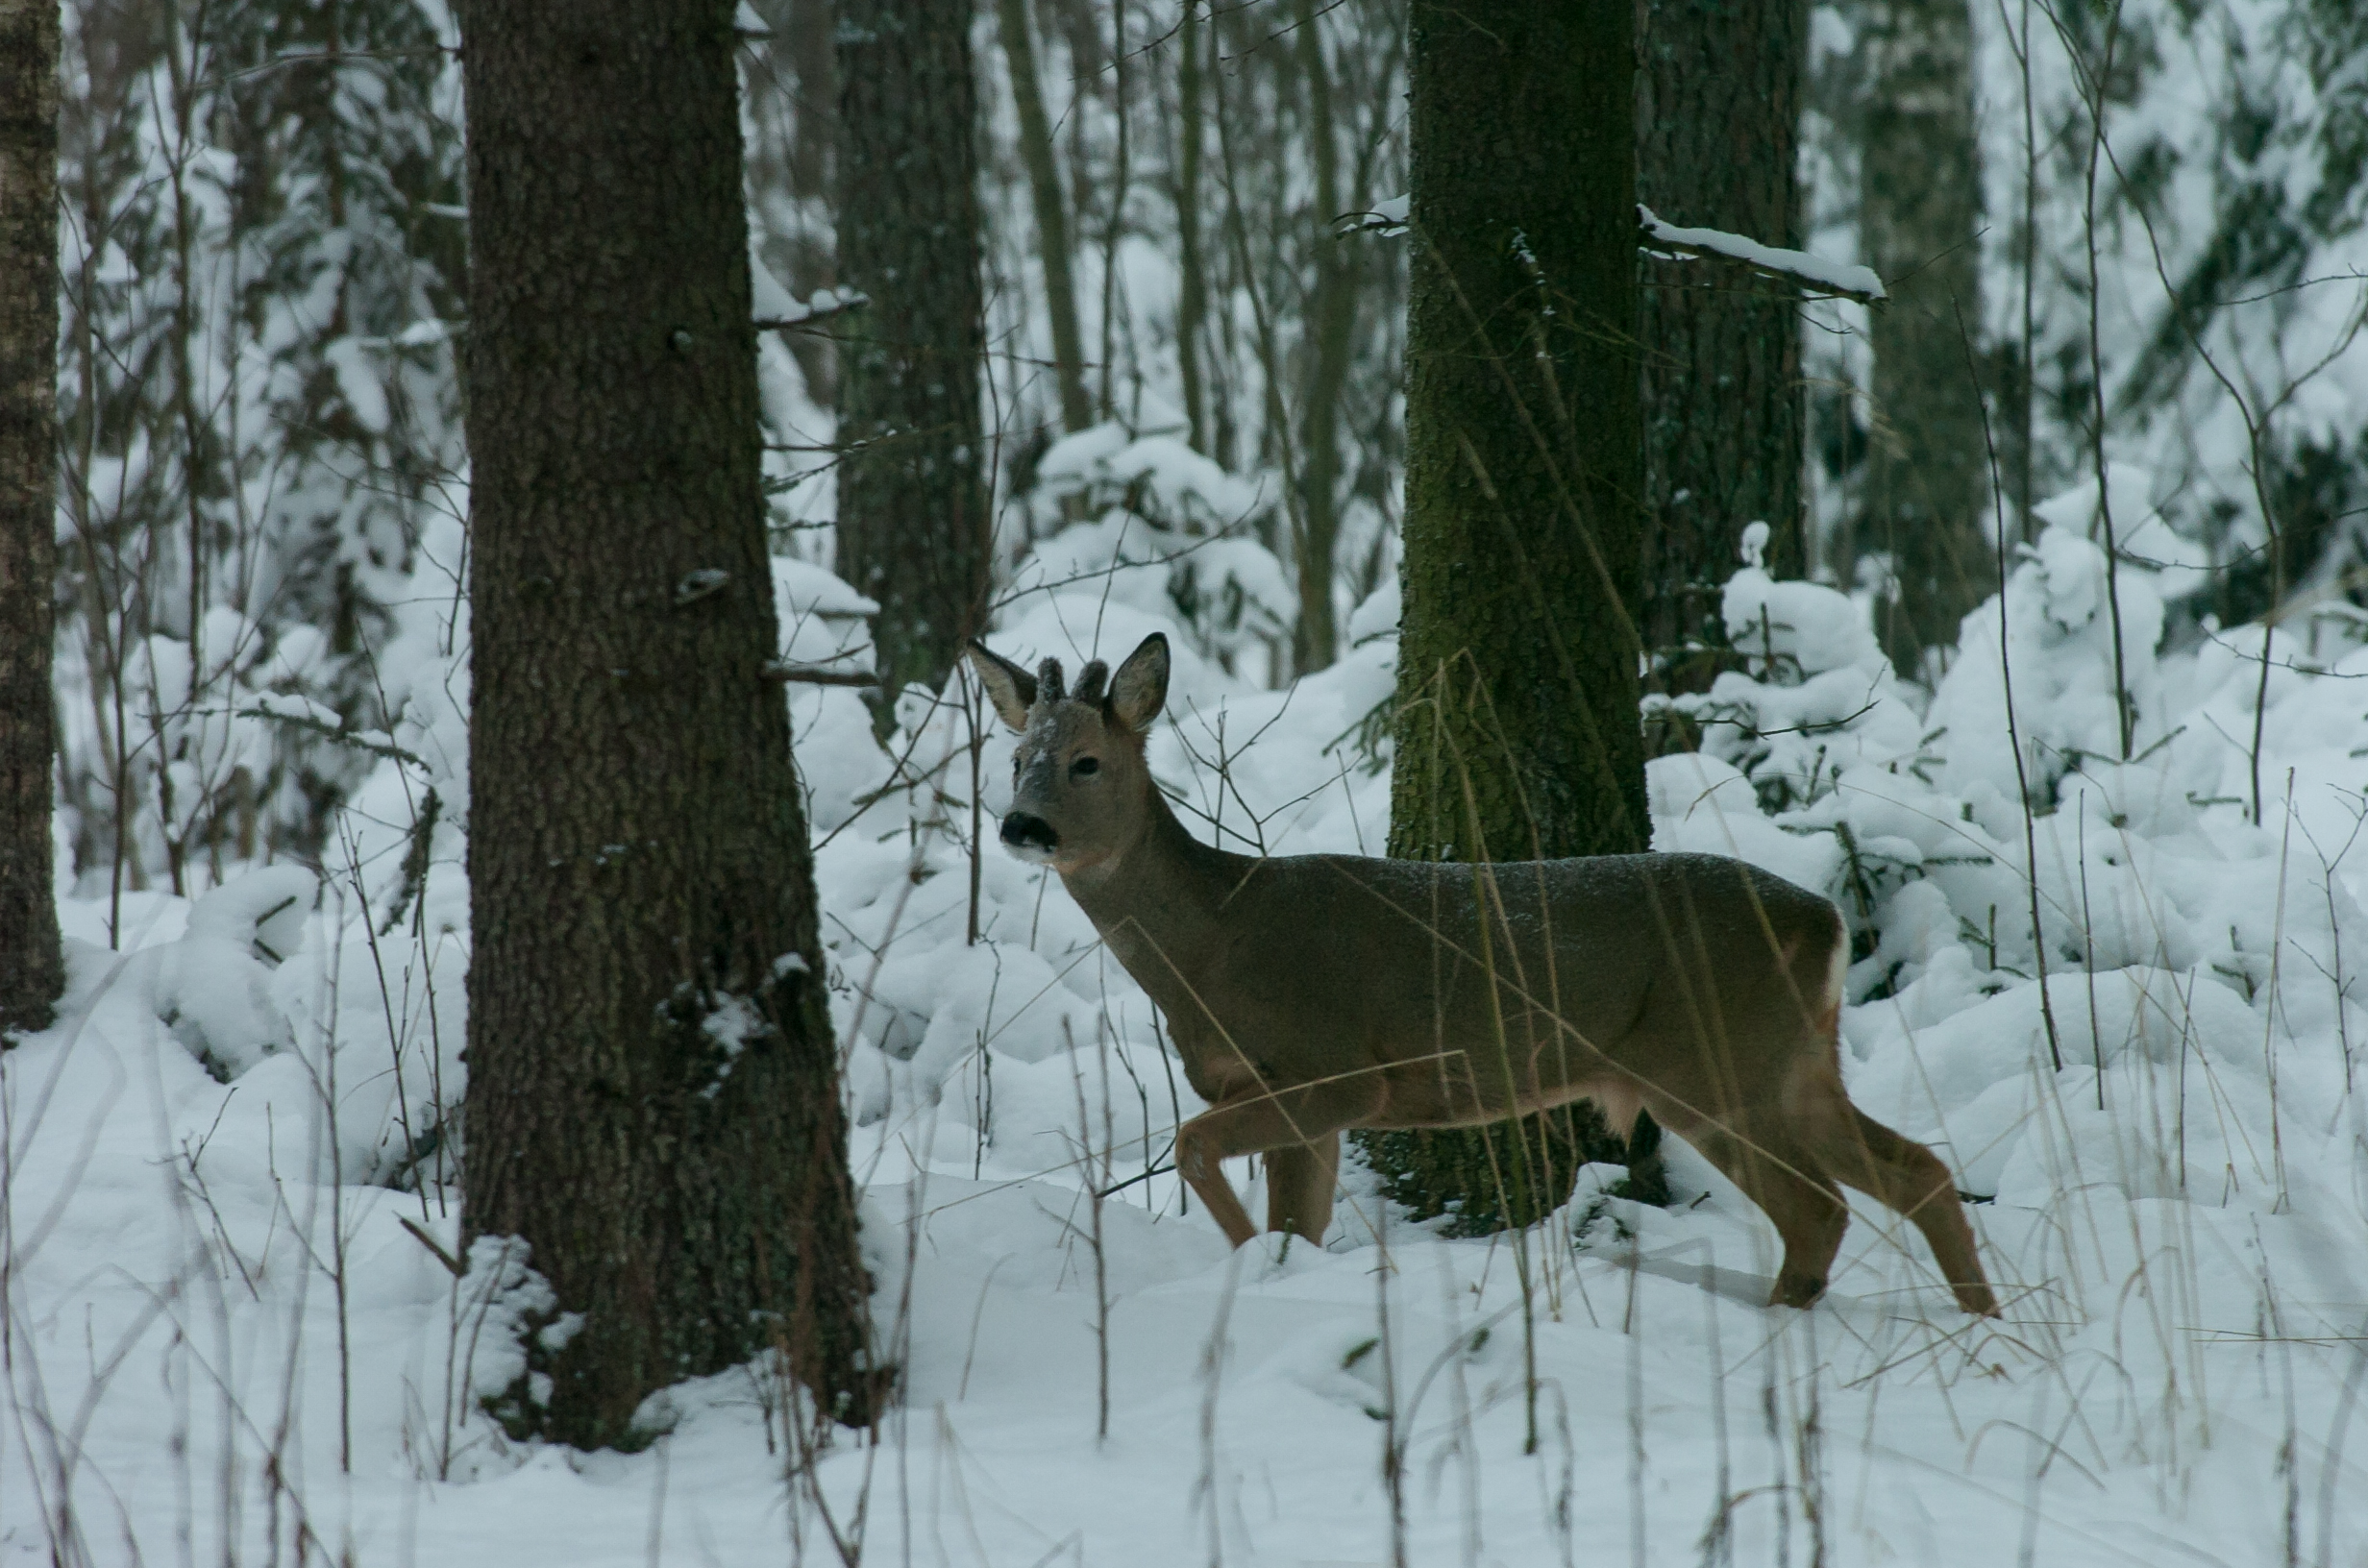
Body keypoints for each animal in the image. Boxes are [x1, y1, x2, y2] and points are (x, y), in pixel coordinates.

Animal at [971, 634, 2008, 1316]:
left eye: (1086, 760)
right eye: (1015, 758)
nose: (1022, 827)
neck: (1215, 946)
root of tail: (1822, 920)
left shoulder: (1334, 1069)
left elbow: (1193, 1148)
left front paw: (1250, 1263)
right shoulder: (1293, 1096)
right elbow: (1293, 1217)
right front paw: (1283, 1270)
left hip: (1713, 1062)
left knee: (1820, 1208)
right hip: (1789, 1061)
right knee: (1917, 1170)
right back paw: (1982, 1324)